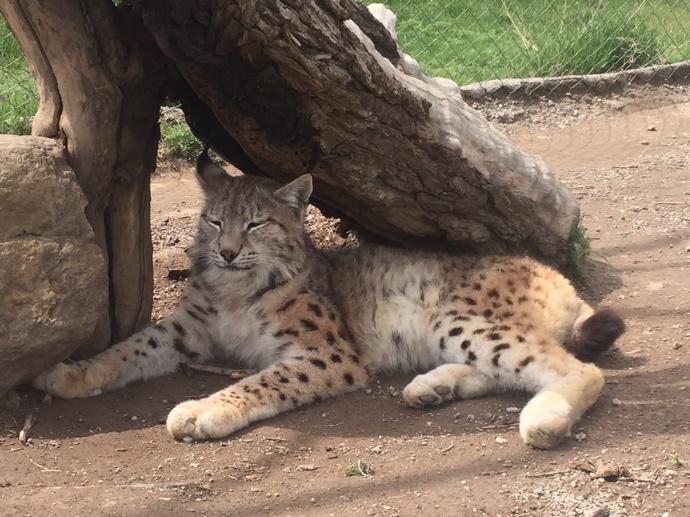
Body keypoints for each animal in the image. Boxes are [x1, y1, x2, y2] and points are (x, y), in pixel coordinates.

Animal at [33, 152, 625, 449]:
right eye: (214, 221)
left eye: (257, 224)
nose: (224, 253)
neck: (237, 288)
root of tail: (553, 272)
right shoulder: (186, 328)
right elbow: (129, 348)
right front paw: (72, 373)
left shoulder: (327, 353)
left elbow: (259, 381)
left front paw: (204, 410)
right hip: (450, 328)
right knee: (512, 368)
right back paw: (434, 387)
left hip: (461, 315)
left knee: (579, 369)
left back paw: (545, 419)